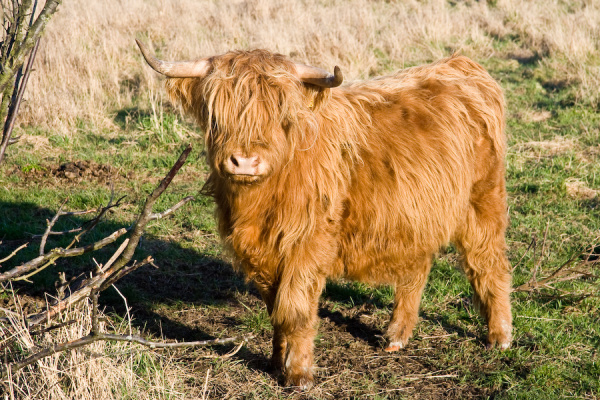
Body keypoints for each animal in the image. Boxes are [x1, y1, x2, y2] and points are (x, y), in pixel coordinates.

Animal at [138, 40, 512, 388]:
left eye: (281, 113)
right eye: (216, 113)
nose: (244, 162)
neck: (261, 201)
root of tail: (461, 65)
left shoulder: (307, 244)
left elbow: (296, 310)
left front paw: (298, 374)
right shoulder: (263, 253)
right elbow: (276, 309)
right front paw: (275, 361)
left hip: (483, 201)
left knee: (489, 263)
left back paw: (500, 336)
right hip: (416, 216)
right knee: (416, 269)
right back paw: (396, 336)